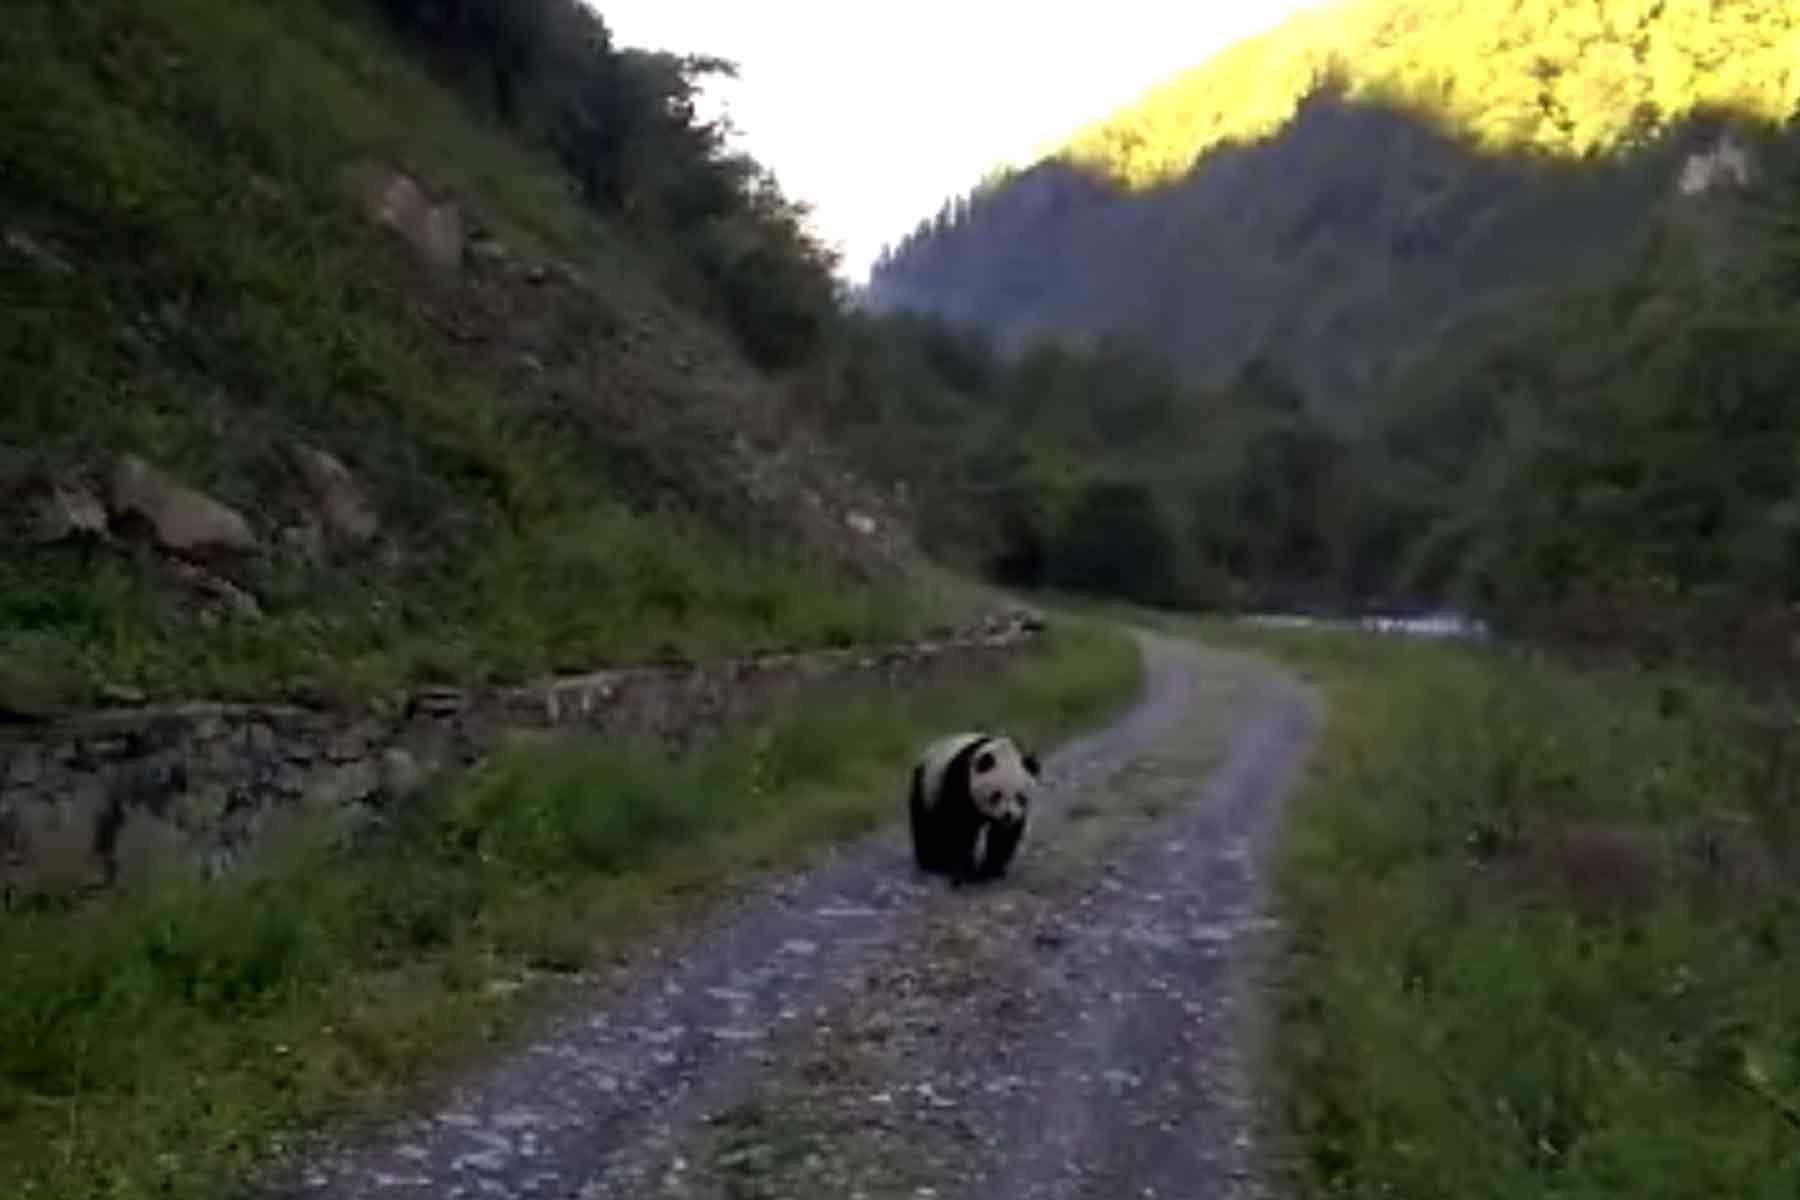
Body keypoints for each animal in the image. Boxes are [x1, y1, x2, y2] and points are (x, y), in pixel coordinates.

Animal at [909, 732, 1042, 884]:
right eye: (996, 795)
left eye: (1021, 797)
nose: (1007, 815)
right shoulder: (960, 782)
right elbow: (960, 828)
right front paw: (966, 871)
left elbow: (1003, 836)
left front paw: (991, 870)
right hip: (927, 786)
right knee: (928, 825)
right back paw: (933, 862)